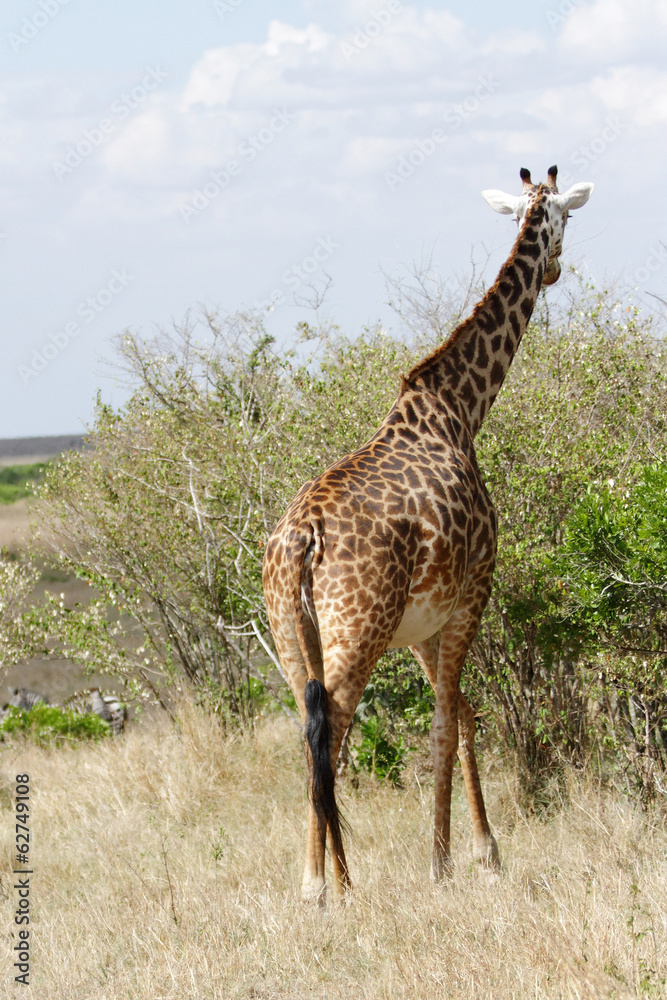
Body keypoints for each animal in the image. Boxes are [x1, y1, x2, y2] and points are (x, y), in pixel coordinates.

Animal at [262, 166, 594, 903]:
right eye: (564, 218)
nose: (555, 268)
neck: (460, 409)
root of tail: (298, 542)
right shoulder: (474, 590)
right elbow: (445, 721)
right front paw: (442, 861)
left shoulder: (421, 624)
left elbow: (464, 714)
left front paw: (485, 850)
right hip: (356, 629)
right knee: (335, 731)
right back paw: (325, 885)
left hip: (293, 638)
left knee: (309, 734)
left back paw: (325, 879)